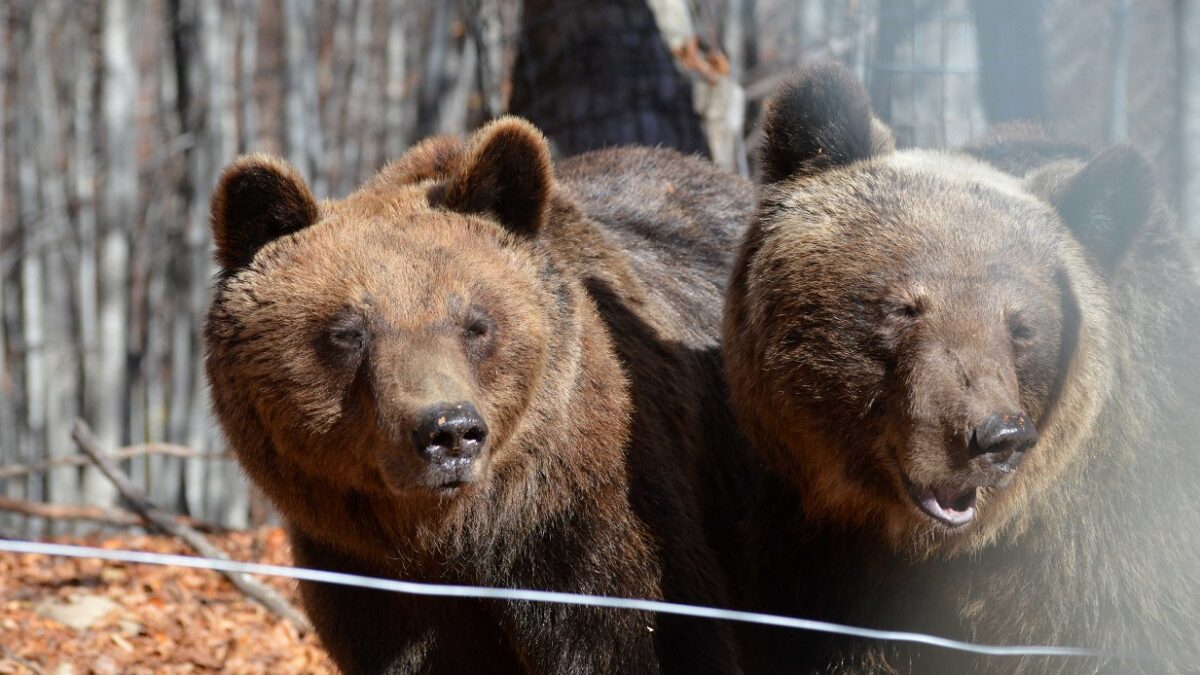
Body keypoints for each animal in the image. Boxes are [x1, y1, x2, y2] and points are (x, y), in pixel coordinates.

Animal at [202, 118, 753, 667]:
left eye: (475, 323)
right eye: (348, 331)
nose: (449, 432)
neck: (463, 535)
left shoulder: (594, 540)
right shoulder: (371, 582)